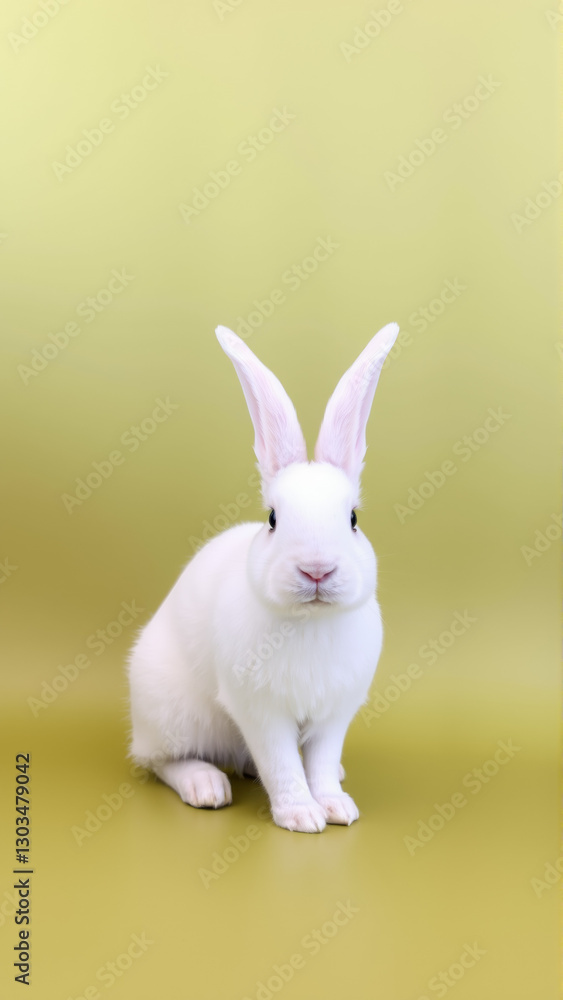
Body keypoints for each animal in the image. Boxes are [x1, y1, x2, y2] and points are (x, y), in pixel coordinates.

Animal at [127, 321, 399, 833]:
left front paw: (336, 806)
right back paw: (206, 786)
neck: (310, 622)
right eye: (273, 519)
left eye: (353, 519)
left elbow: (318, 761)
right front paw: (302, 816)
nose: (317, 568)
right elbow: (282, 764)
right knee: (162, 761)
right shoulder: (261, 712)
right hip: (175, 716)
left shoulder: (334, 715)